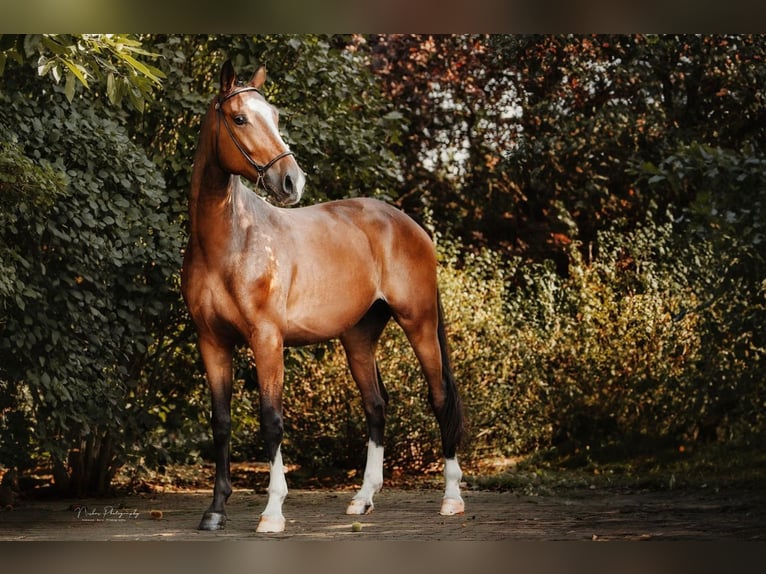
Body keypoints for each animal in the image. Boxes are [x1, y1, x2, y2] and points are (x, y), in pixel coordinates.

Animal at [183, 62, 464, 536]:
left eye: (275, 117)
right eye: (239, 119)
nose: (291, 181)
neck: (230, 241)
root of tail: (409, 224)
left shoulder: (266, 338)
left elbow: (272, 420)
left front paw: (273, 511)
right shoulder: (212, 342)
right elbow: (221, 424)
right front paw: (215, 510)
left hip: (420, 322)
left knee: (440, 396)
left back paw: (451, 498)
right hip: (358, 338)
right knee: (376, 406)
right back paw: (363, 499)